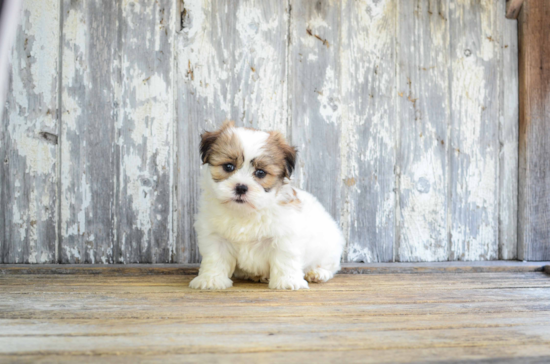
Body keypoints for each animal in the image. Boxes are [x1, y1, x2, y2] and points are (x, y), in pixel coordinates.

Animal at [190, 121, 344, 290]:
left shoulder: (285, 236)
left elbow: (285, 259)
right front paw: (211, 280)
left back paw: (317, 273)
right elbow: (215, 258)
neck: (245, 211)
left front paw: (287, 281)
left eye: (260, 173)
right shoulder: (215, 237)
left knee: (330, 265)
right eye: (228, 167)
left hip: (329, 245)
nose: (241, 187)